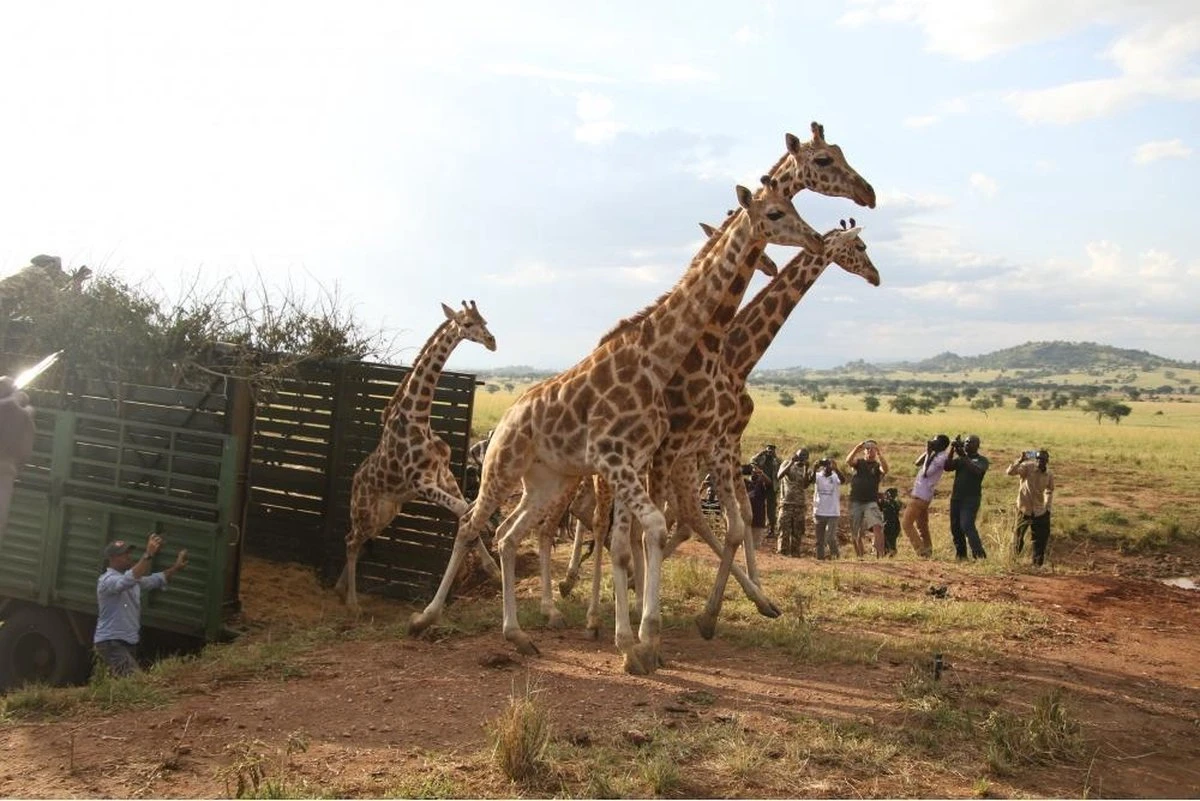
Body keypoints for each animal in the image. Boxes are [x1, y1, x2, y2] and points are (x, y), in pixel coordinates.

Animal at [336, 300, 498, 613]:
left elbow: (465, 508)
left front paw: (492, 567)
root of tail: (354, 483)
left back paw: (340, 590)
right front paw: (490, 565)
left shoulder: (444, 476)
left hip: (385, 514)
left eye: (485, 320)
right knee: (350, 541)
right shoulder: (421, 483)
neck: (419, 417)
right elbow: (463, 509)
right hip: (365, 511)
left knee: (357, 540)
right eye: (467, 324)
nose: (491, 341)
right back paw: (353, 604)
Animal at [409, 178, 824, 674]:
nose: (815, 237)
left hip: (546, 480)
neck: (655, 360)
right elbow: (650, 532)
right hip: (503, 468)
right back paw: (426, 617)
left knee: (509, 535)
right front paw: (641, 639)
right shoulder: (616, 459)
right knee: (472, 524)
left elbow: (632, 541)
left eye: (794, 206)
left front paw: (634, 641)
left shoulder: (634, 460)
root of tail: (505, 418)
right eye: (776, 212)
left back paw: (518, 635)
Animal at [691, 220, 880, 636]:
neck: (736, 358)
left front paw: (763, 600)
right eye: (860, 245)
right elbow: (728, 521)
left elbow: (741, 517)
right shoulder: (716, 443)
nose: (876, 275)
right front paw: (712, 614)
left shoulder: (726, 441)